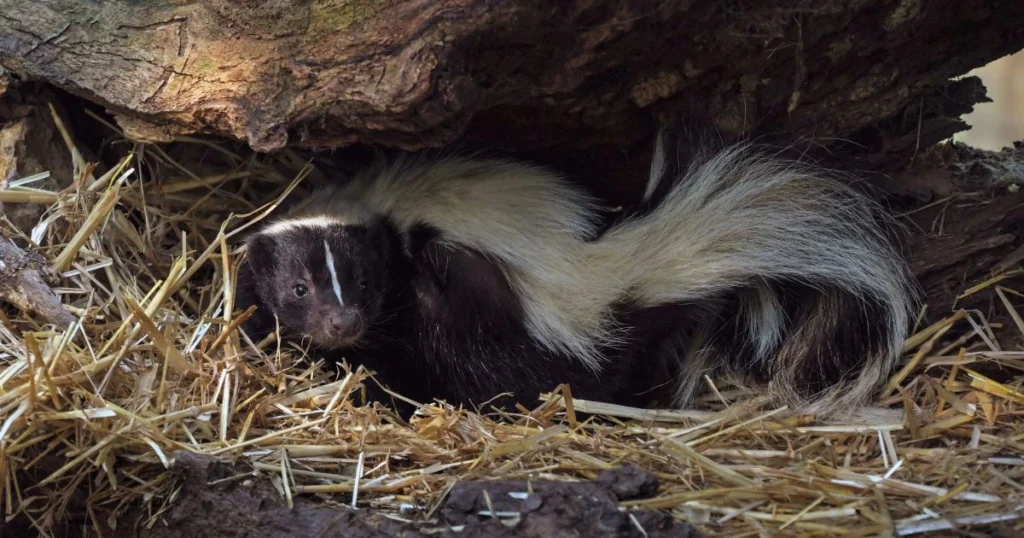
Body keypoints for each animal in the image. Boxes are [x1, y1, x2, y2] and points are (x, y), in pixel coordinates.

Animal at [239, 130, 921, 416]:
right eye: (298, 288)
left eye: (363, 284)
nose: (342, 323)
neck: (373, 205)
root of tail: (608, 270)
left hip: (484, 317)